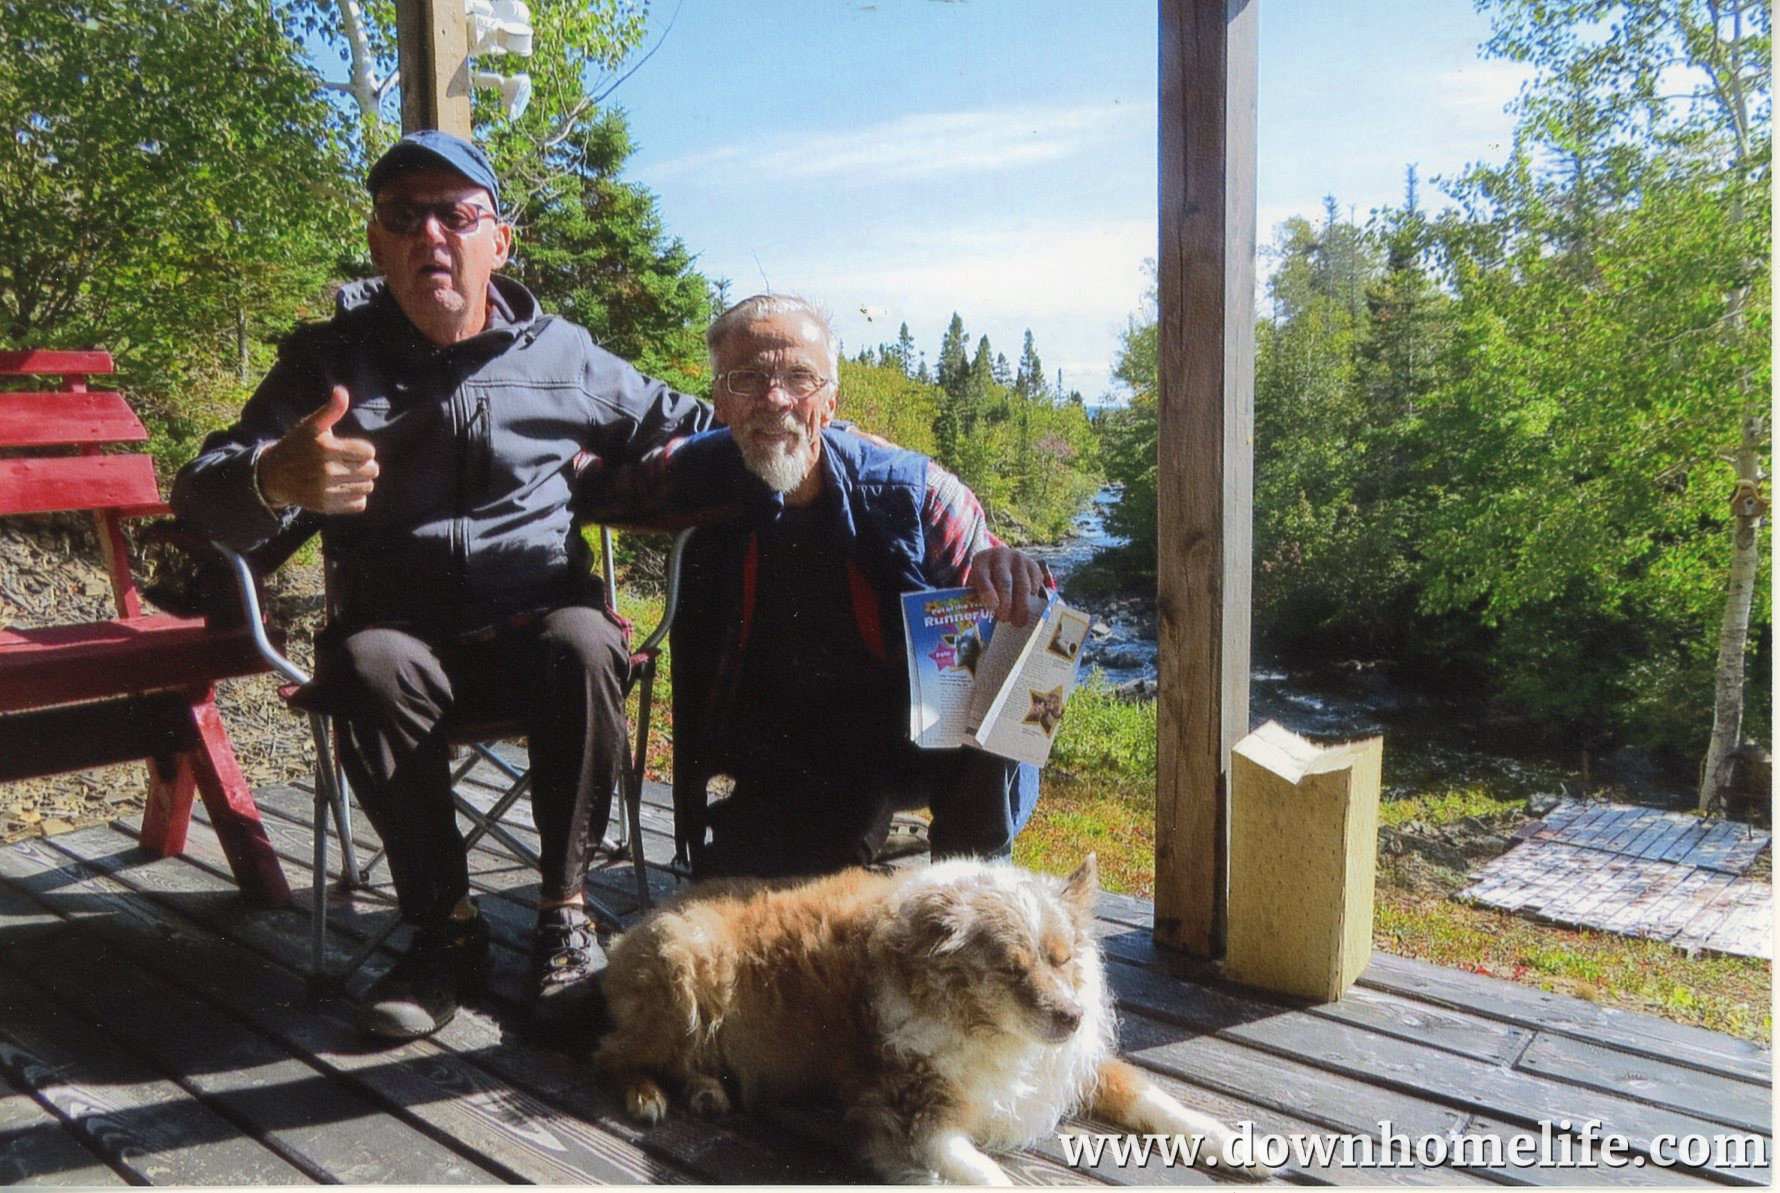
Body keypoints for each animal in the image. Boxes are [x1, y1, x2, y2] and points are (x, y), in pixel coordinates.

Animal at [593, 855, 1240, 1184]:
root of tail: (627, 931)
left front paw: (1229, 1142)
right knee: (613, 1051)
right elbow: (994, 1177)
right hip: (689, 970)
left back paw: (705, 1091)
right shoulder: (917, 1118)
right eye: (1010, 969)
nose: (1072, 1018)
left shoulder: (1066, 1065)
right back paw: (647, 1094)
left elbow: (1151, 1095)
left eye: (1061, 959)